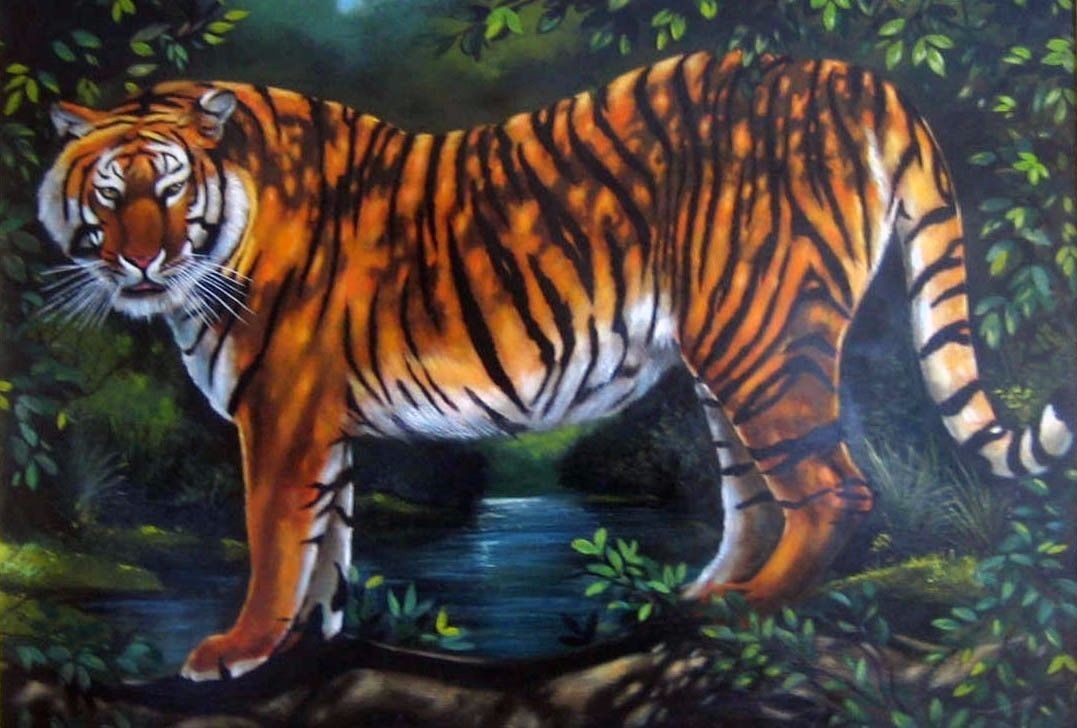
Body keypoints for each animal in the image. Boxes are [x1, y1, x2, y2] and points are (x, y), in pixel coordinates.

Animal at [37, 50, 1074, 681]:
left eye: (173, 190)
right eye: (110, 193)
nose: (139, 263)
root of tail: (854, 77)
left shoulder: (284, 413)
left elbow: (274, 539)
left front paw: (239, 647)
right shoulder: (318, 424)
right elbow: (327, 540)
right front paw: (314, 640)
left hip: (762, 338)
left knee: (833, 489)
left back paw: (751, 608)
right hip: (732, 356)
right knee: (752, 493)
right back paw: (698, 600)